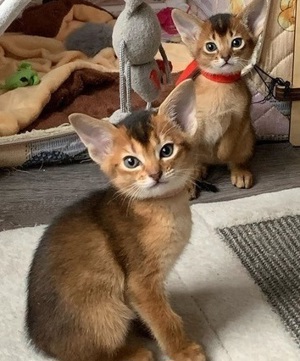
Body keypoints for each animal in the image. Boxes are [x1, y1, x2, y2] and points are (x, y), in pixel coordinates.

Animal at [26, 80, 206, 360]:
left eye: (166, 150)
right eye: (131, 162)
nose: (155, 174)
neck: (163, 207)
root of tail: (42, 344)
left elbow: (154, 314)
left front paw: (148, 327)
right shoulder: (141, 283)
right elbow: (164, 320)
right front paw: (183, 350)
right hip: (108, 310)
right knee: (94, 354)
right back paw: (135, 353)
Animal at [171, 0, 268, 190]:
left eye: (236, 42)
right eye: (210, 46)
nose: (225, 56)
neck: (220, 84)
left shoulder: (239, 117)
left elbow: (228, 144)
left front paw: (221, 154)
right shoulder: (193, 121)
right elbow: (194, 146)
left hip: (247, 138)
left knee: (237, 159)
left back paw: (240, 171)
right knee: (199, 163)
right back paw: (196, 172)